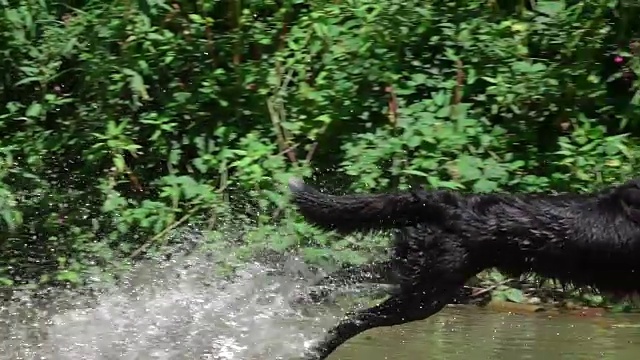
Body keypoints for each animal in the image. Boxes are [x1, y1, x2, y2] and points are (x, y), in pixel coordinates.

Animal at [290, 178, 640, 360]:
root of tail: (450, 204)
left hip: (419, 270)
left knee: (346, 276)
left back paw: (299, 300)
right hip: (428, 292)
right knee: (354, 318)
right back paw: (311, 348)